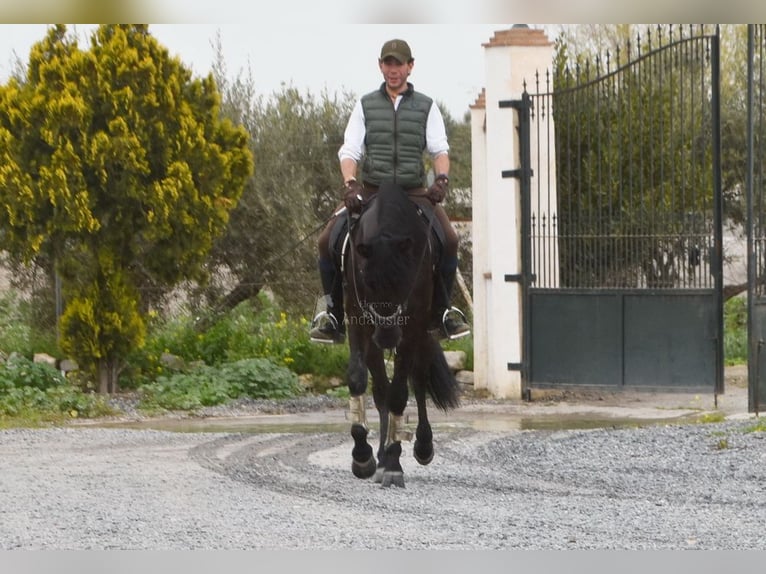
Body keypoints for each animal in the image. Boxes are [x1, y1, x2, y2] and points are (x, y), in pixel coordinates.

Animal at [341, 181, 461, 488]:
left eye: (406, 280)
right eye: (369, 282)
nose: (386, 337)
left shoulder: (413, 328)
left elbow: (400, 394)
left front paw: (394, 464)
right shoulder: (357, 320)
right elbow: (358, 380)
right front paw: (363, 456)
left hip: (420, 333)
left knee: (416, 380)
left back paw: (422, 447)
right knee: (381, 390)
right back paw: (380, 457)